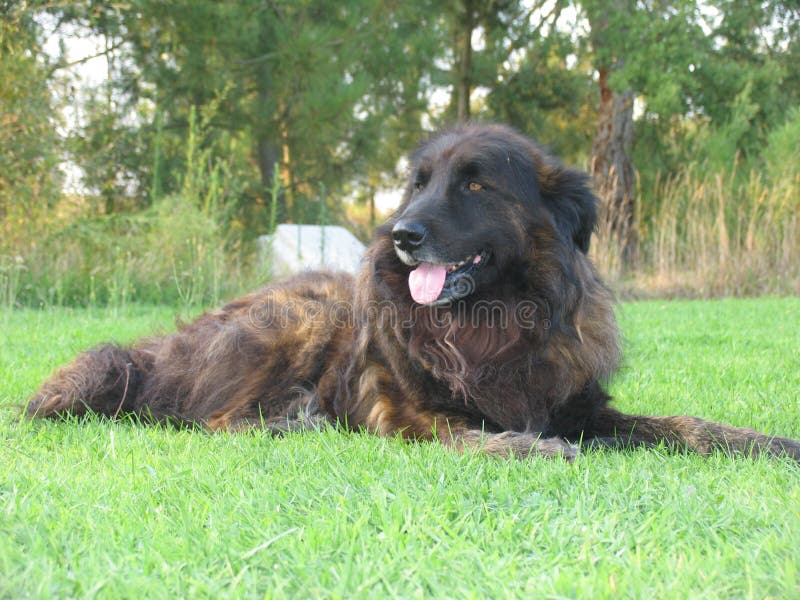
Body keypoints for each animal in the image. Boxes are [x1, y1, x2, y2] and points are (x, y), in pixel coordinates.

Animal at [25, 124, 800, 462]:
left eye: (476, 184)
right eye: (419, 183)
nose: (400, 235)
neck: (490, 320)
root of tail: (160, 350)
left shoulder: (579, 404)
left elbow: (689, 425)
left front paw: (765, 441)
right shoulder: (405, 413)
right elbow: (471, 434)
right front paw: (525, 447)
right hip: (304, 316)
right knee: (210, 418)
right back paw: (288, 422)